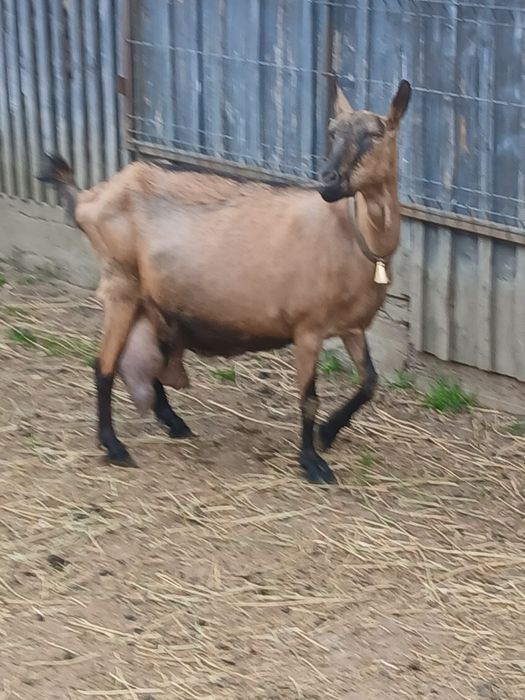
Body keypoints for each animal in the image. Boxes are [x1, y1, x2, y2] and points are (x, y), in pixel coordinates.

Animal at [38, 80, 411, 484]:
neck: (353, 234)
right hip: (121, 282)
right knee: (103, 364)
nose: (328, 182)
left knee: (148, 360)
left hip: (152, 298)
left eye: (375, 135)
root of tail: (89, 198)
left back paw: (173, 422)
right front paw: (312, 462)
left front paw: (328, 433)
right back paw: (114, 445)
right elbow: (309, 399)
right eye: (332, 132)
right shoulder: (307, 328)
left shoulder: (352, 327)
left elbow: (370, 382)